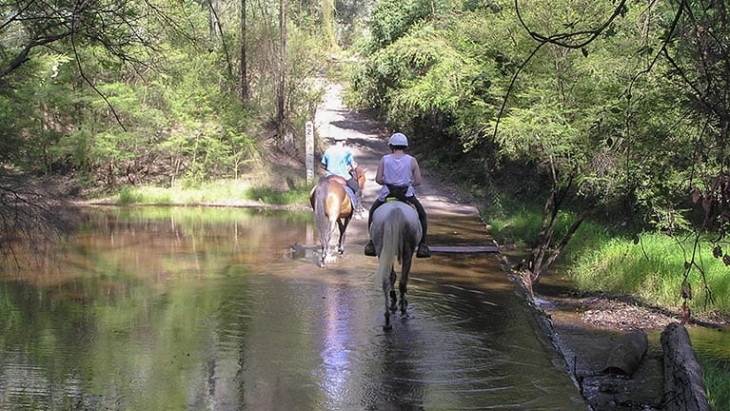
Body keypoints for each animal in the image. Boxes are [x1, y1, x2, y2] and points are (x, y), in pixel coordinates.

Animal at [370, 201, 420, 334]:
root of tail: (395, 211)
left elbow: (392, 276)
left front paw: (393, 300)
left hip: (382, 248)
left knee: (386, 281)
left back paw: (387, 321)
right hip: (408, 251)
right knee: (403, 282)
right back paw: (403, 311)